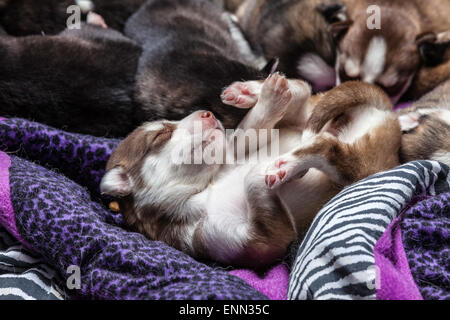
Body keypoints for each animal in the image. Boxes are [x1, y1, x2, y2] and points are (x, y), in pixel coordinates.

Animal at [100, 75, 400, 268]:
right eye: (161, 134)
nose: (207, 113)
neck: (205, 189)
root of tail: (387, 112)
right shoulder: (248, 242)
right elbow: (251, 181)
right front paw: (261, 171)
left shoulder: (233, 153)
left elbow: (248, 133)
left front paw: (263, 105)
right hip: (361, 165)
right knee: (326, 146)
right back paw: (285, 164)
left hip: (318, 125)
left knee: (303, 94)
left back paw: (256, 92)